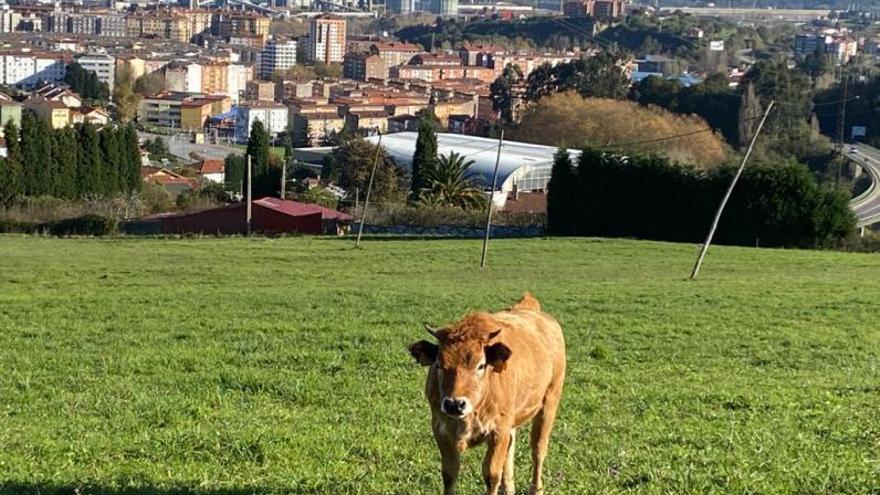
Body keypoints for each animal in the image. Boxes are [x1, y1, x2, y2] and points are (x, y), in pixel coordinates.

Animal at [410, 294, 568, 495]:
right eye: (439, 364)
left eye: (481, 365)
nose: (455, 404)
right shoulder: (441, 430)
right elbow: (449, 474)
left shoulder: (497, 432)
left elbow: (491, 475)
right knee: (511, 449)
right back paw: (509, 488)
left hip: (549, 403)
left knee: (538, 450)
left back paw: (536, 489)